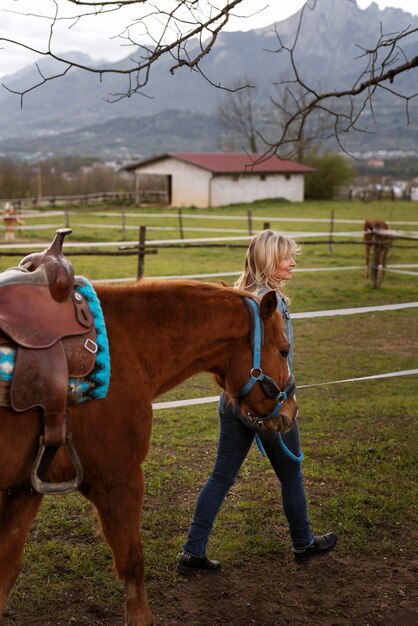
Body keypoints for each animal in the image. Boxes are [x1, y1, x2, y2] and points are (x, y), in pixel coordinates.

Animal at [0, 280, 298, 624]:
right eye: (284, 350)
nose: (291, 411)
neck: (125, 346)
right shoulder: (118, 480)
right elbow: (132, 562)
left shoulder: (26, 489)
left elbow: (6, 569)